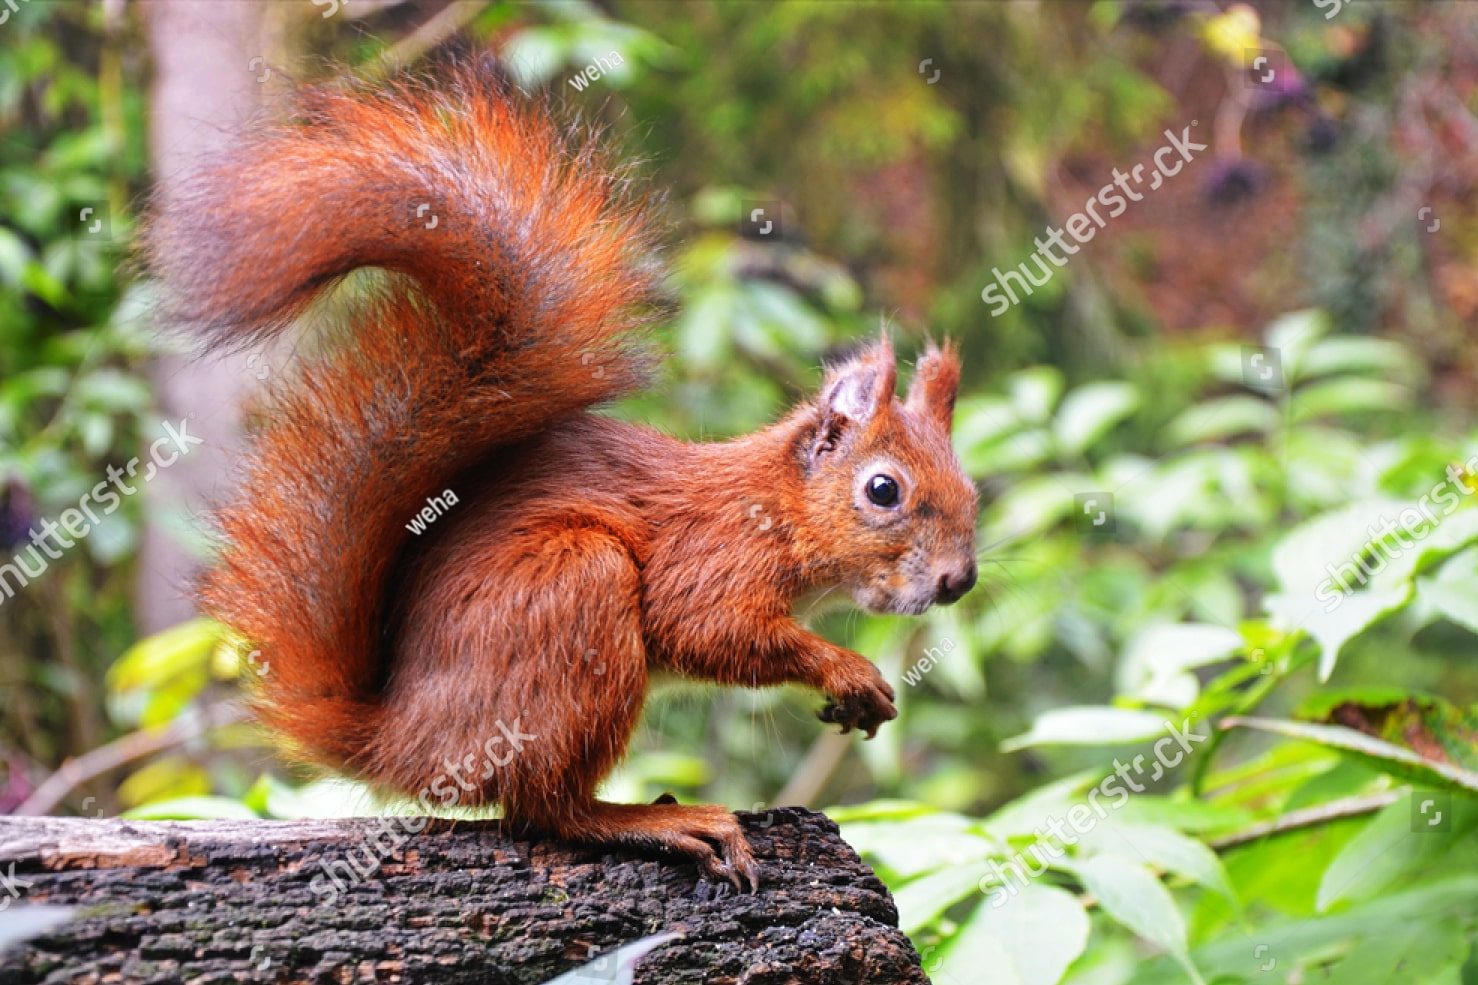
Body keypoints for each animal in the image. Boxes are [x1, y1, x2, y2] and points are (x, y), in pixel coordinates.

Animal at [142, 62, 979, 891]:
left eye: (972, 492)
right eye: (883, 490)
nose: (958, 580)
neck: (777, 504)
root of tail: (401, 739)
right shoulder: (715, 556)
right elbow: (711, 630)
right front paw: (849, 670)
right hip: (575, 589)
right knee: (543, 808)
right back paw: (655, 819)